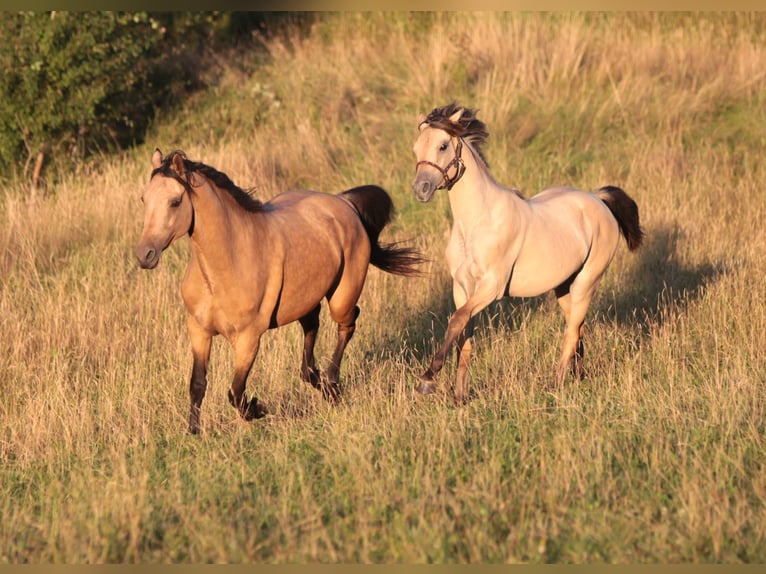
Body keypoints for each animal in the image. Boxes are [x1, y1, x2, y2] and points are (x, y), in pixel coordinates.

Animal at [414, 103, 640, 402]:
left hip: (586, 283)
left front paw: (428, 379)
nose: (421, 189)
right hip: (563, 287)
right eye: (416, 148)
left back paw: (556, 384)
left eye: (442, 145)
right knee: (579, 326)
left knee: (571, 332)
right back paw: (578, 375)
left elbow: (456, 320)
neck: (477, 222)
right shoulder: (462, 288)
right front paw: (460, 396)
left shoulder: (491, 288)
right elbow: (464, 337)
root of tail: (597, 199)